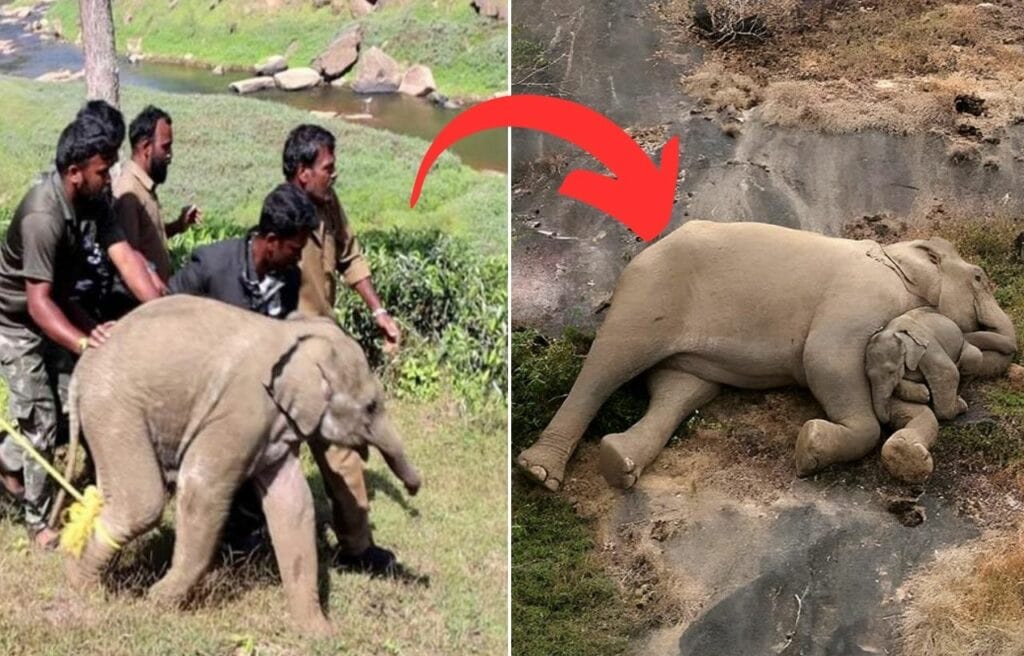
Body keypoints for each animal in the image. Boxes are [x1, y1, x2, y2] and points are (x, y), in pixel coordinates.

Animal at [61, 295, 421, 634]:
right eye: (371, 406)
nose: (414, 491)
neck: (293, 336)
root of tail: (82, 368)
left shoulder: (273, 427)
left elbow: (293, 505)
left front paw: (321, 633)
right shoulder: (241, 411)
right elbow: (203, 488)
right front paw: (156, 602)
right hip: (115, 408)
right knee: (141, 505)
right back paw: (85, 588)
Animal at [865, 307, 992, 482]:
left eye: (891, 371)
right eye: (867, 376)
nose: (886, 424)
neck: (894, 331)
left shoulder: (929, 349)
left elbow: (947, 373)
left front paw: (956, 407)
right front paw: (924, 394)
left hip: (966, 348)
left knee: (973, 357)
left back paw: (960, 399)